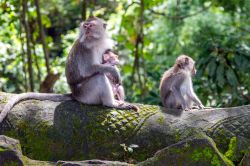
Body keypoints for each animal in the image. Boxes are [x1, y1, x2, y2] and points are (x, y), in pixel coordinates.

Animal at [0, 16, 137, 123]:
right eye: (85, 26)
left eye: (91, 26)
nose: (86, 31)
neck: (96, 42)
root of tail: (74, 94)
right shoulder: (86, 49)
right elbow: (88, 69)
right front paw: (113, 70)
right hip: (86, 95)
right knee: (99, 77)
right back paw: (111, 103)